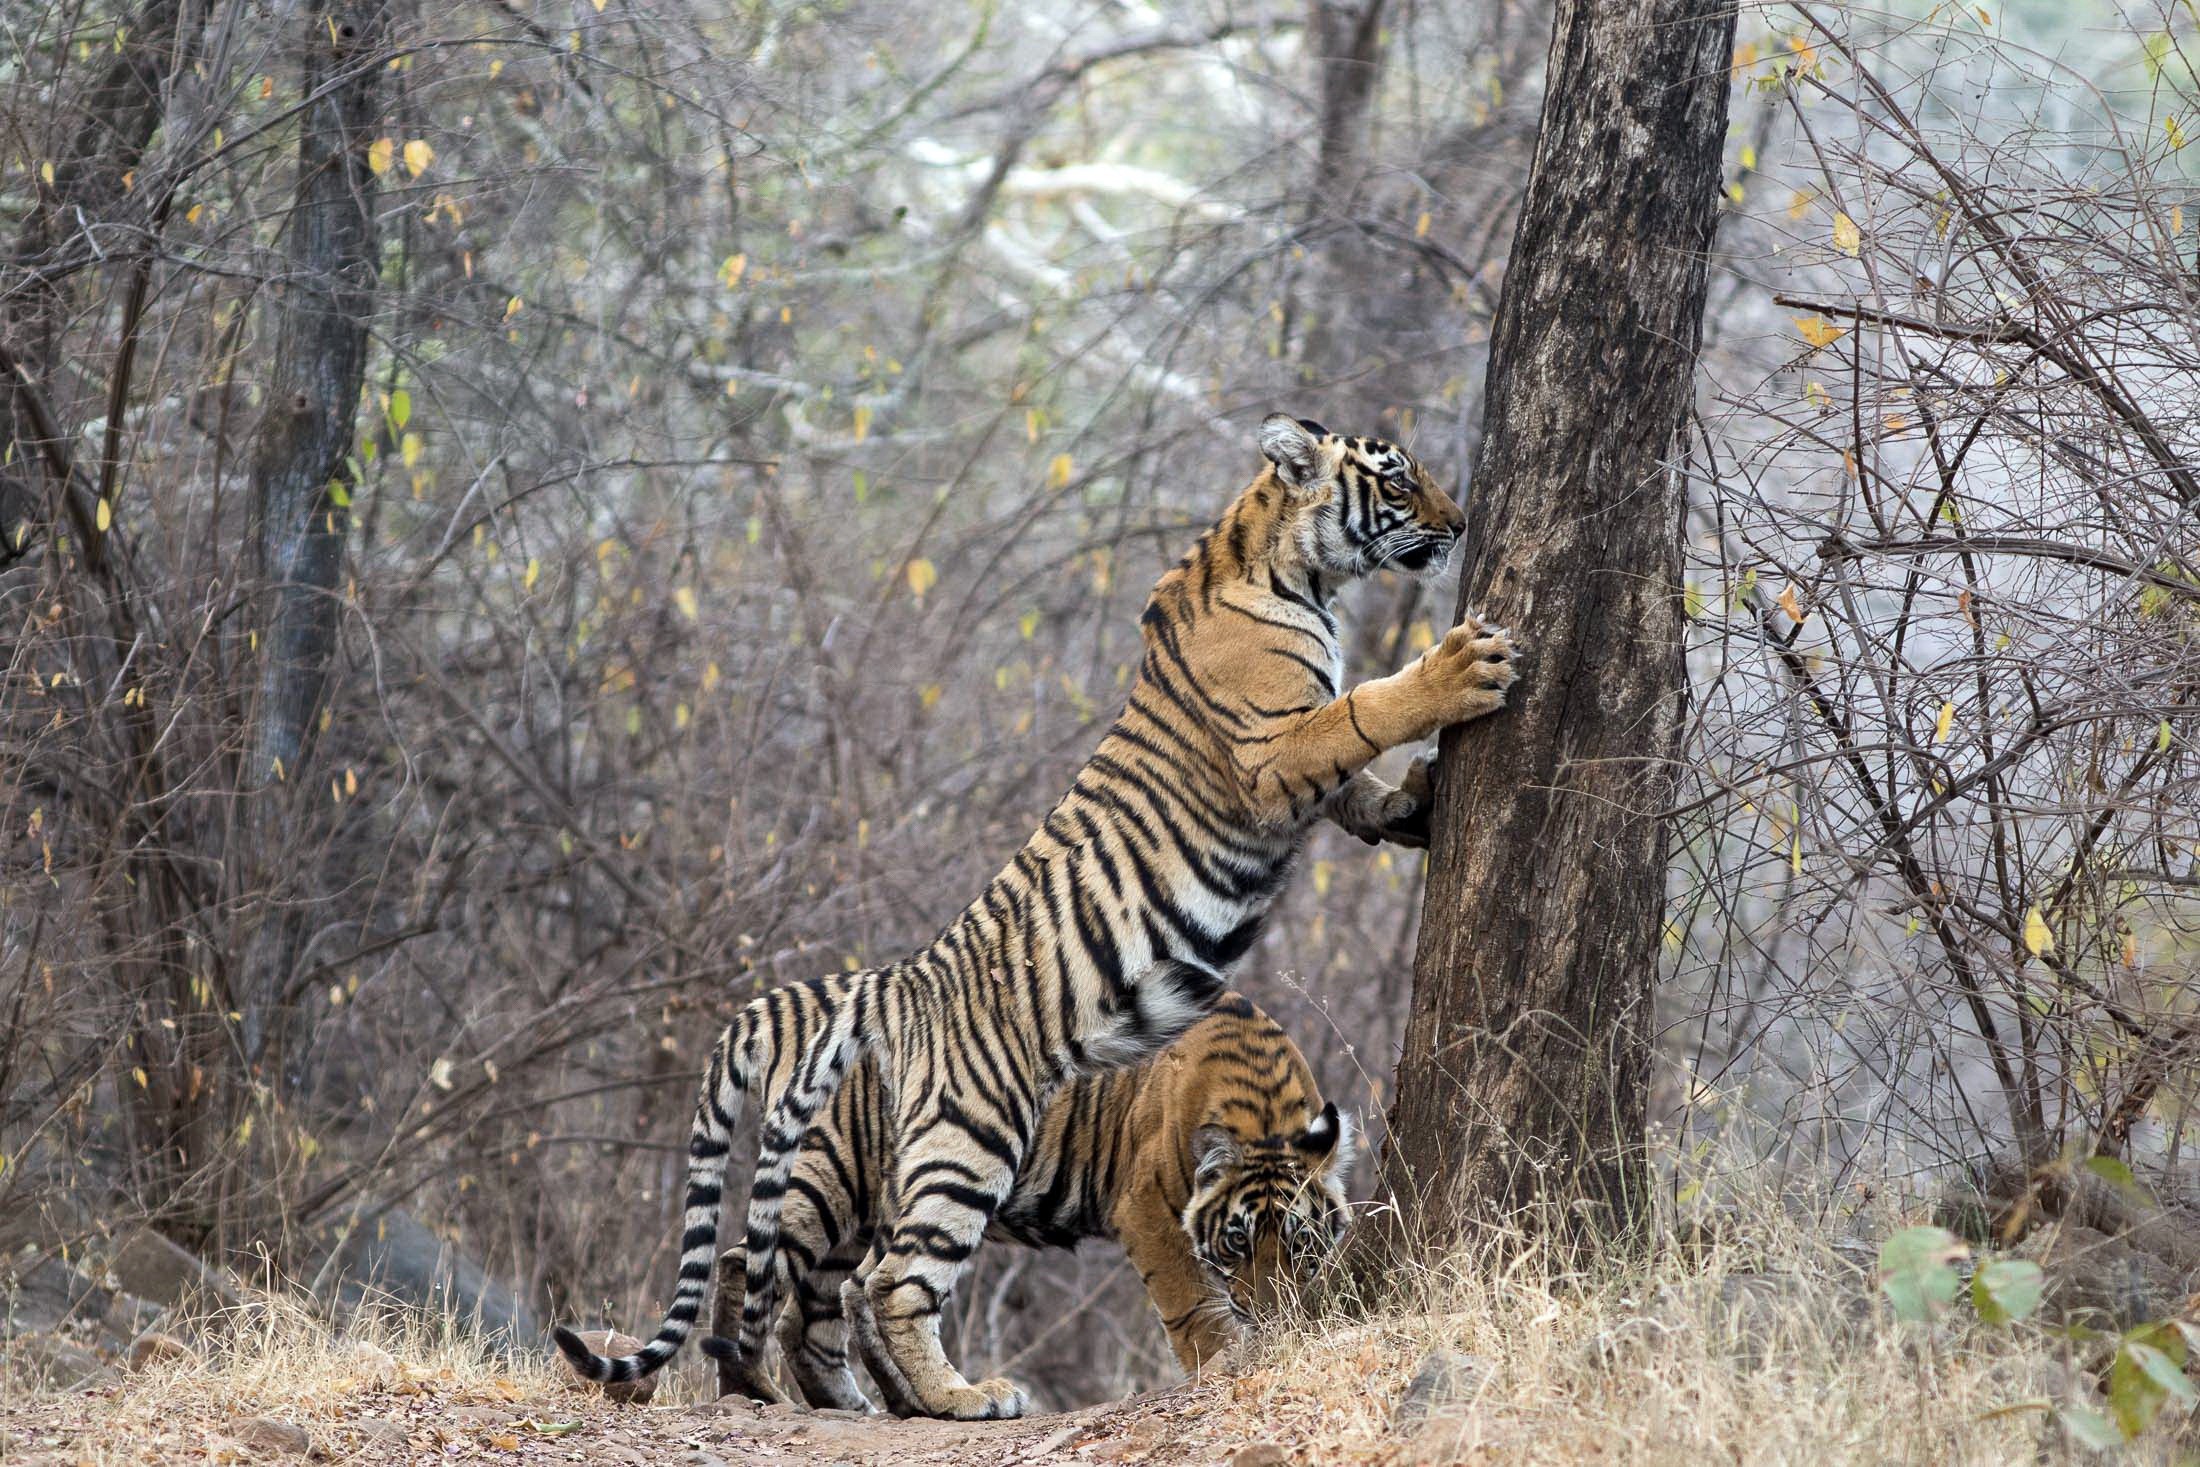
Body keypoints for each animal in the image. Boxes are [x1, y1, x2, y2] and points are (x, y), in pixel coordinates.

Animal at [707, 992, 1355, 1413]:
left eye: (1299, 1243)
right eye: (1237, 1240)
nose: (1271, 1315)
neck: (1263, 1115)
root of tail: (800, 1015)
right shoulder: (1146, 1208)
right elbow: (1192, 1305)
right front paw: (1223, 1364)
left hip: (870, 1213)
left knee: (830, 1303)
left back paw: (876, 1403)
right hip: (831, 1175)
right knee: (748, 1264)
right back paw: (753, 1392)